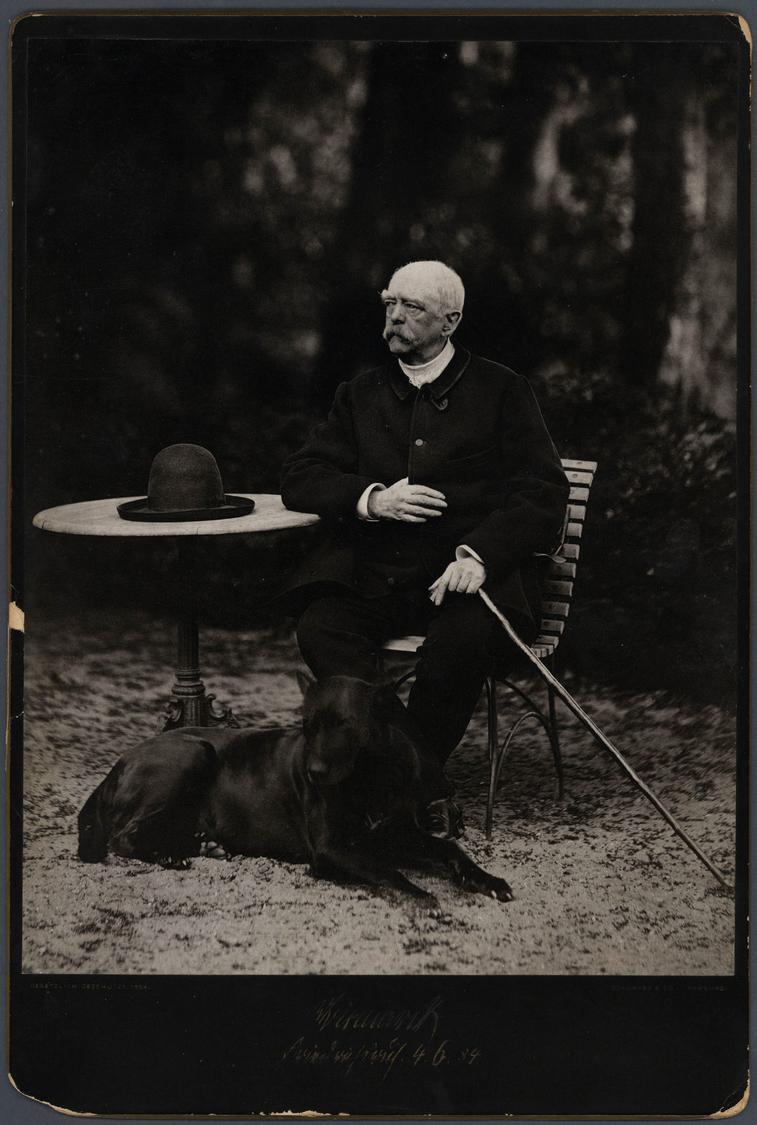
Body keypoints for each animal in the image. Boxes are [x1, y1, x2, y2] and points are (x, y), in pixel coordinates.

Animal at [78, 675, 512, 904]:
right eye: (307, 725)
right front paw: (421, 896)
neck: (367, 778)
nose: (314, 771)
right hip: (192, 753)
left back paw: (202, 846)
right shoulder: (333, 847)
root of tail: (118, 763)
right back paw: (171, 856)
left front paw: (487, 881)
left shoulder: (400, 832)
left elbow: (449, 849)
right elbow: (385, 869)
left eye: (345, 725)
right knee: (123, 837)